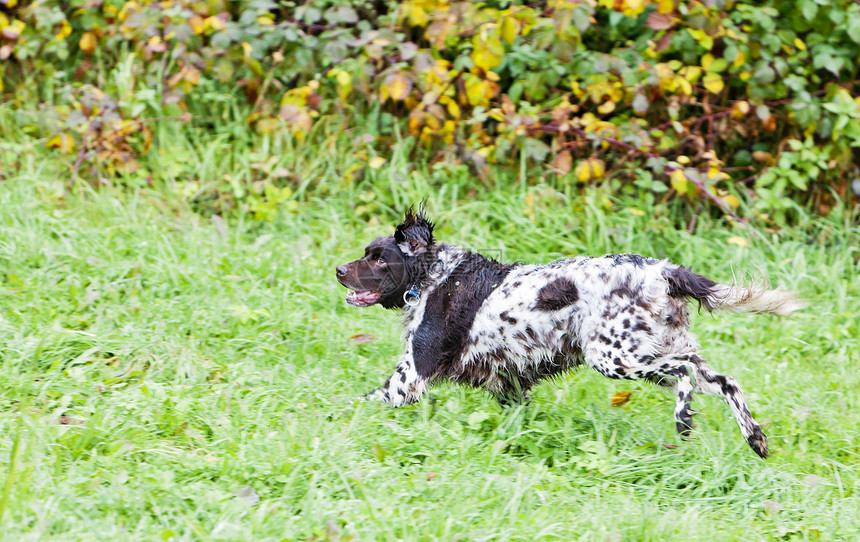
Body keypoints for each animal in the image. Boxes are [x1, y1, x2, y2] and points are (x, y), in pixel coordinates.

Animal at [334, 208, 800, 460]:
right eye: (366, 253)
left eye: (378, 259)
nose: (338, 270)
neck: (434, 276)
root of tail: (665, 272)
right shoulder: (507, 384)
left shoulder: (409, 378)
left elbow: (356, 405)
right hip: (652, 353)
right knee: (726, 381)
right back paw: (755, 439)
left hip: (616, 357)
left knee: (685, 375)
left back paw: (684, 420)